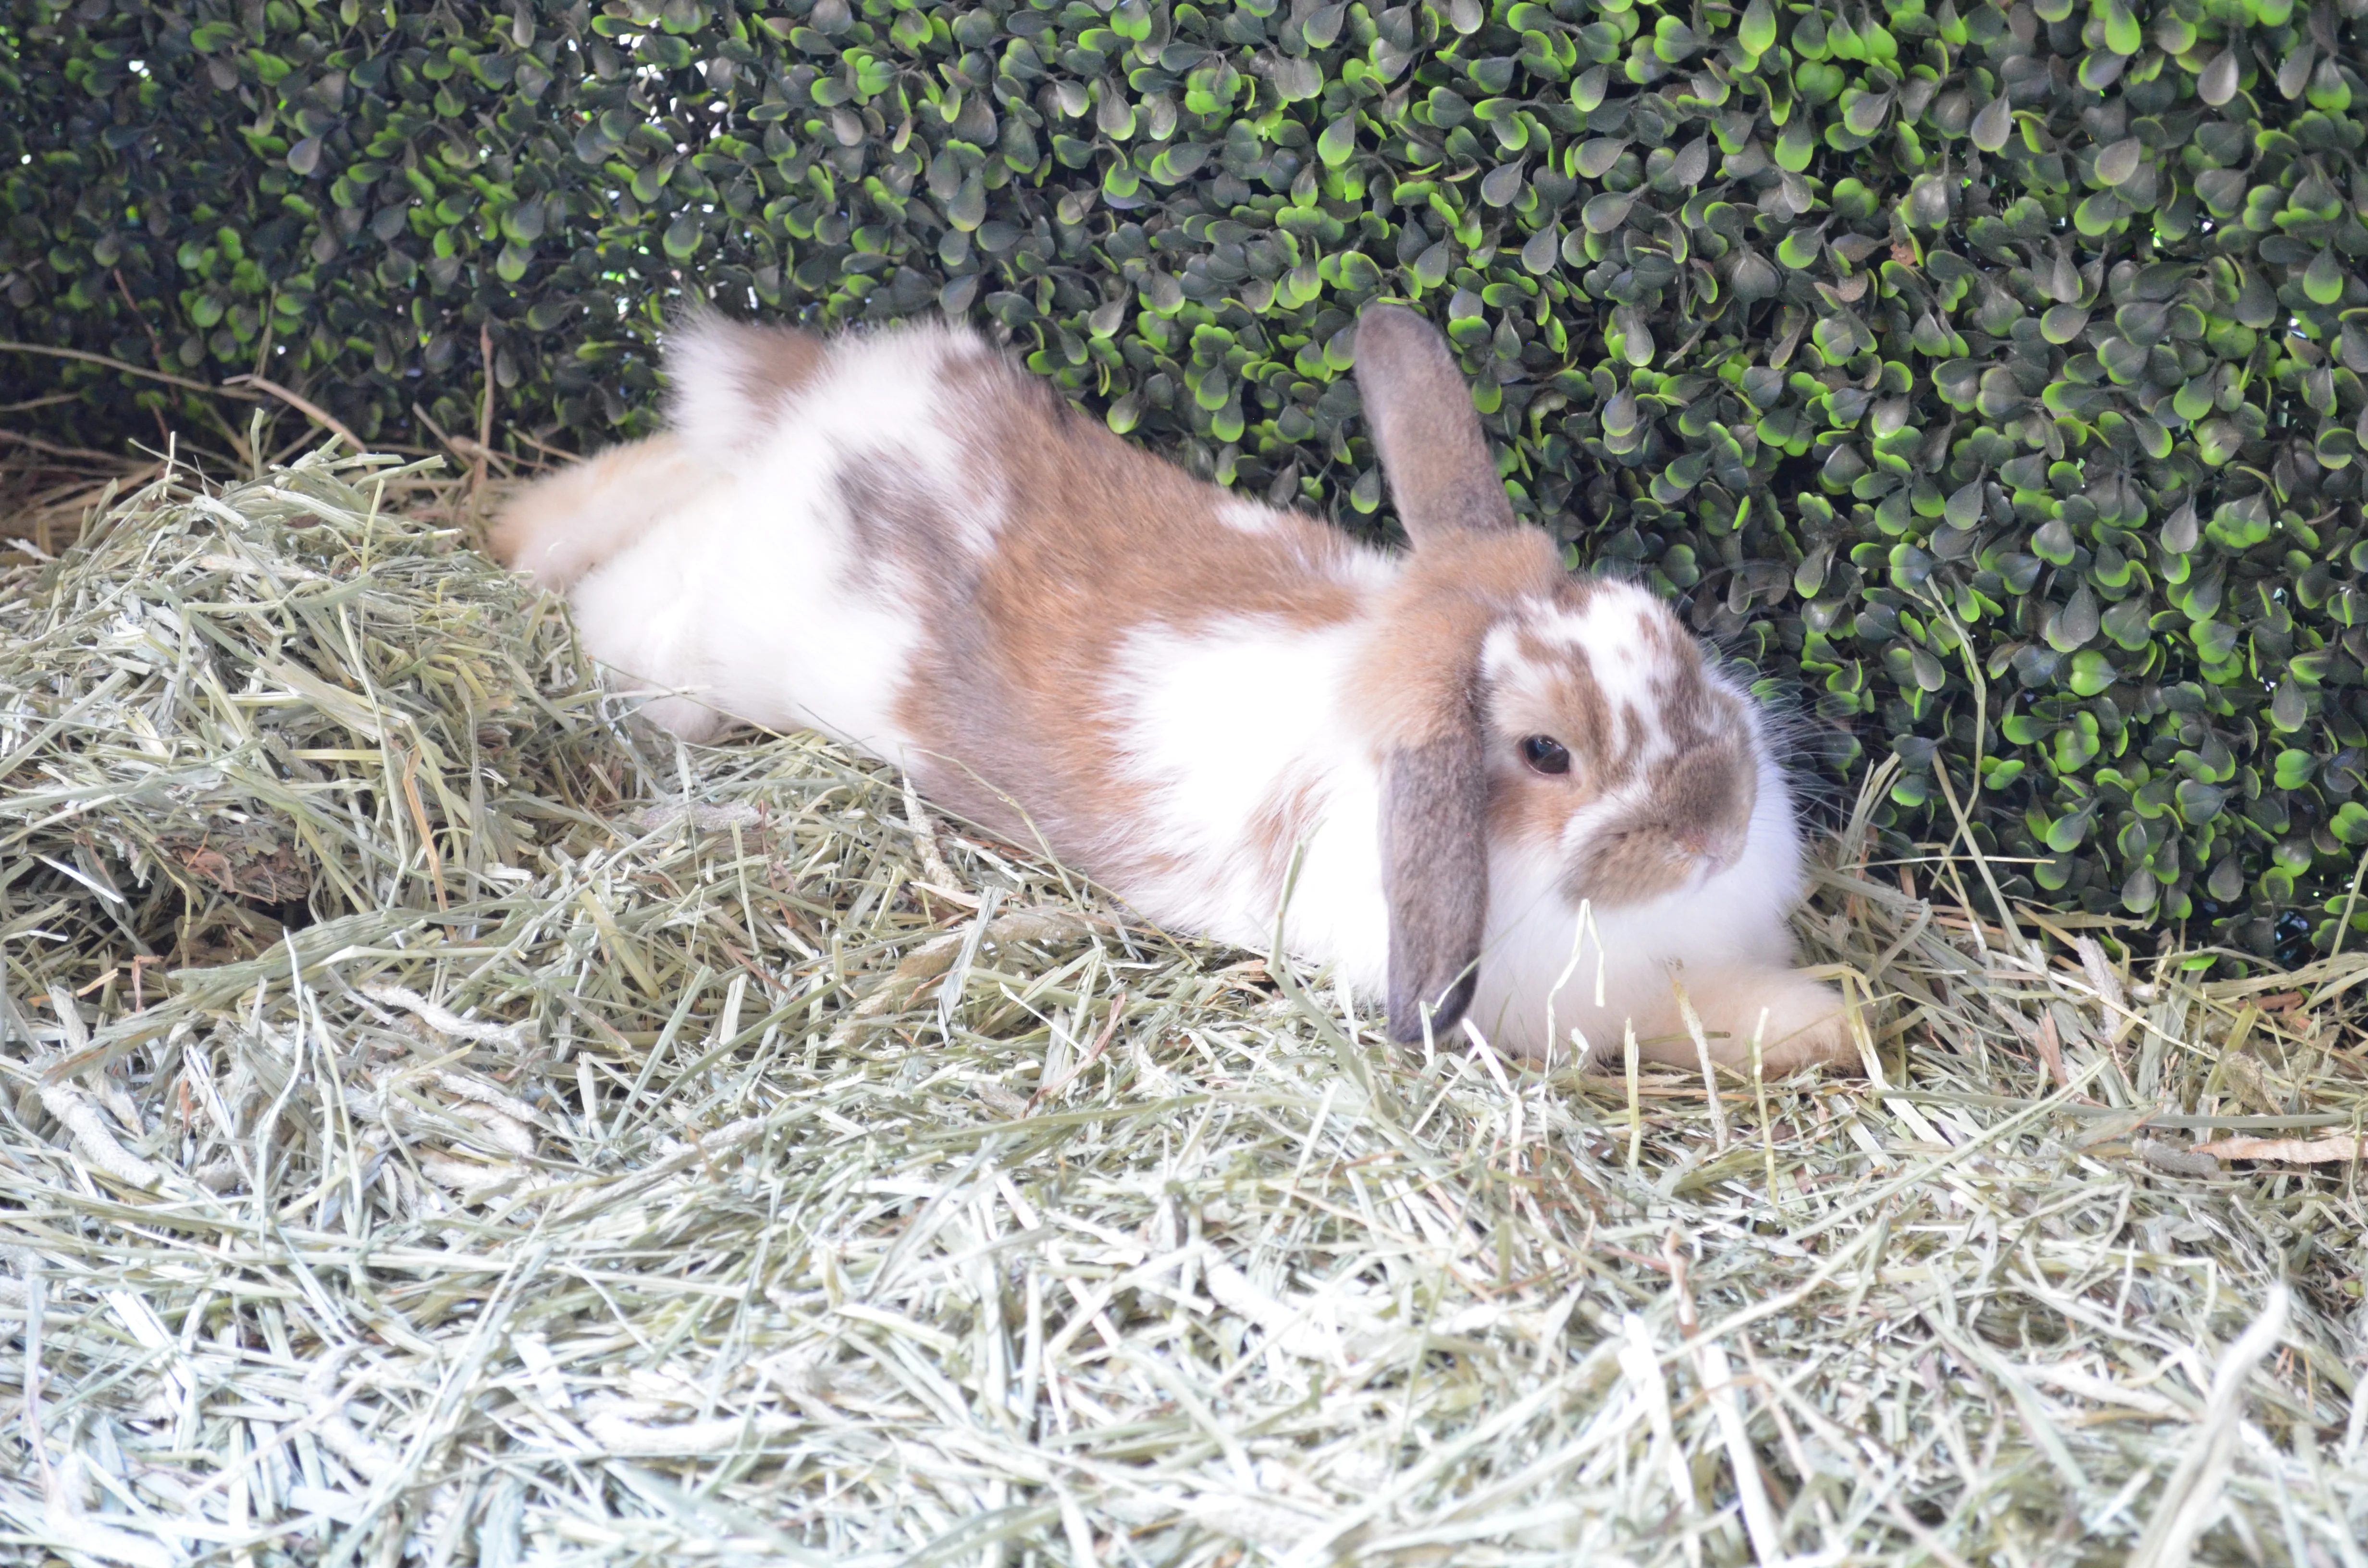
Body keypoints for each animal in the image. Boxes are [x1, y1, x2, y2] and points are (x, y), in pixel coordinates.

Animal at [491, 303, 1852, 1075]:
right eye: (1546, 754)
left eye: (1661, 625)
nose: (1719, 822)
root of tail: (817, 415)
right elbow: (1694, 1022)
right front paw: (1832, 1023)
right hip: (713, 629)